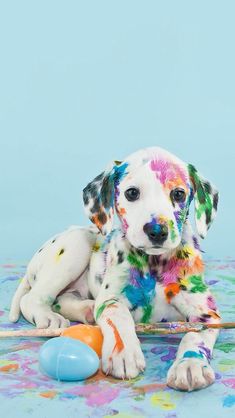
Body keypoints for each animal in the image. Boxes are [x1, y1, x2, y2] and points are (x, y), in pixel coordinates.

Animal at [9, 147, 219, 392]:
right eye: (132, 193)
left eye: (178, 194)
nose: (157, 231)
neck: (154, 263)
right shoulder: (112, 298)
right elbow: (118, 316)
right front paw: (124, 352)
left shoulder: (206, 312)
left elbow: (195, 335)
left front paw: (189, 364)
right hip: (76, 244)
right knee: (33, 298)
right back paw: (50, 317)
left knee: (64, 298)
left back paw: (87, 309)